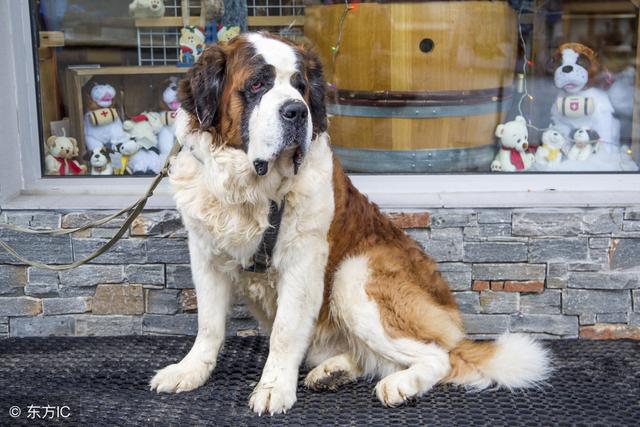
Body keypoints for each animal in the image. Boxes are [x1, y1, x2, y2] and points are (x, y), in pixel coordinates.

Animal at [150, 32, 552, 414]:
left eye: (300, 86)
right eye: (257, 84)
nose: (296, 111)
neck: (253, 190)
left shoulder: (302, 262)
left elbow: (284, 332)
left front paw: (273, 388)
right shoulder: (206, 255)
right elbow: (209, 324)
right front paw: (190, 370)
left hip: (354, 276)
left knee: (441, 356)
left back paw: (400, 384)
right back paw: (335, 371)